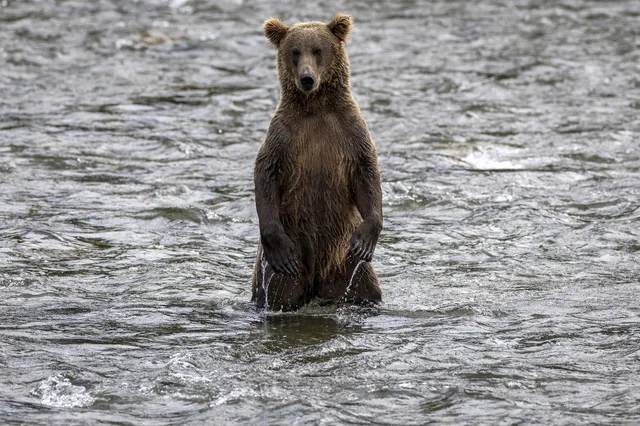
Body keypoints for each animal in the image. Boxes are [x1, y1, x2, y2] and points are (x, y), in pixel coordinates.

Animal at [251, 13, 382, 312]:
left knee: (364, 287)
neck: (316, 107)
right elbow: (266, 172)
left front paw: (366, 238)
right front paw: (278, 247)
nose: (307, 79)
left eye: (318, 50)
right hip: (289, 256)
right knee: (279, 289)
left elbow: (366, 171)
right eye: (295, 52)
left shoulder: (349, 131)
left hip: (345, 263)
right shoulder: (285, 135)